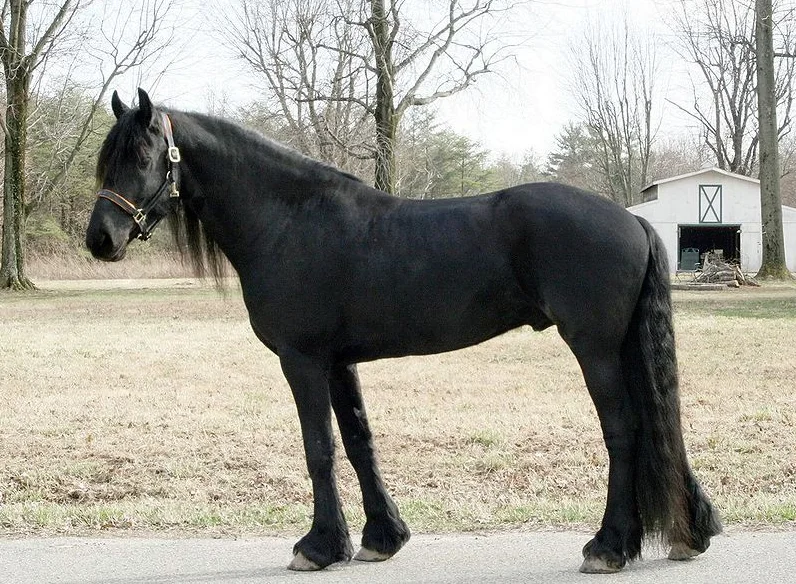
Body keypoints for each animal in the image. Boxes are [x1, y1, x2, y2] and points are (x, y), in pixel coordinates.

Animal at [85, 89, 722, 574]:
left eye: (142, 156)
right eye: (107, 158)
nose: (100, 240)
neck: (289, 219)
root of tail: (632, 219)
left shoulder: (302, 360)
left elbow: (319, 448)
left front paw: (317, 547)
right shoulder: (339, 362)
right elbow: (359, 442)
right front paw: (379, 538)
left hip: (595, 349)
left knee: (625, 430)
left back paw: (607, 547)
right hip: (621, 348)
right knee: (658, 422)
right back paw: (687, 534)